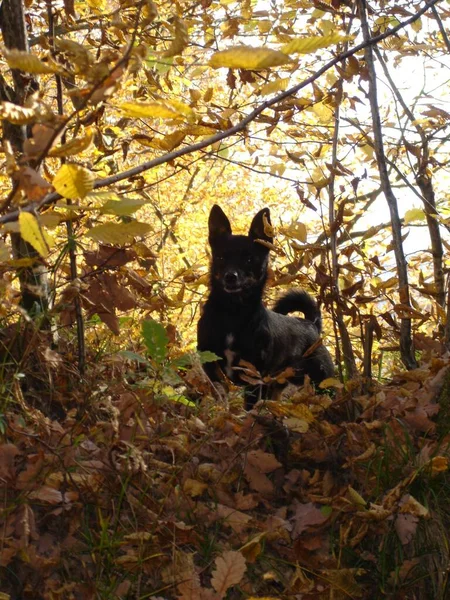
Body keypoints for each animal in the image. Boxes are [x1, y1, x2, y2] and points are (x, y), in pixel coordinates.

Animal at [198, 205, 334, 408]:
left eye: (249, 259)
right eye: (221, 257)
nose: (231, 276)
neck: (232, 312)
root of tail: (312, 324)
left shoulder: (254, 374)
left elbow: (249, 406)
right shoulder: (209, 360)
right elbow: (220, 390)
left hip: (322, 379)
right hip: (278, 383)